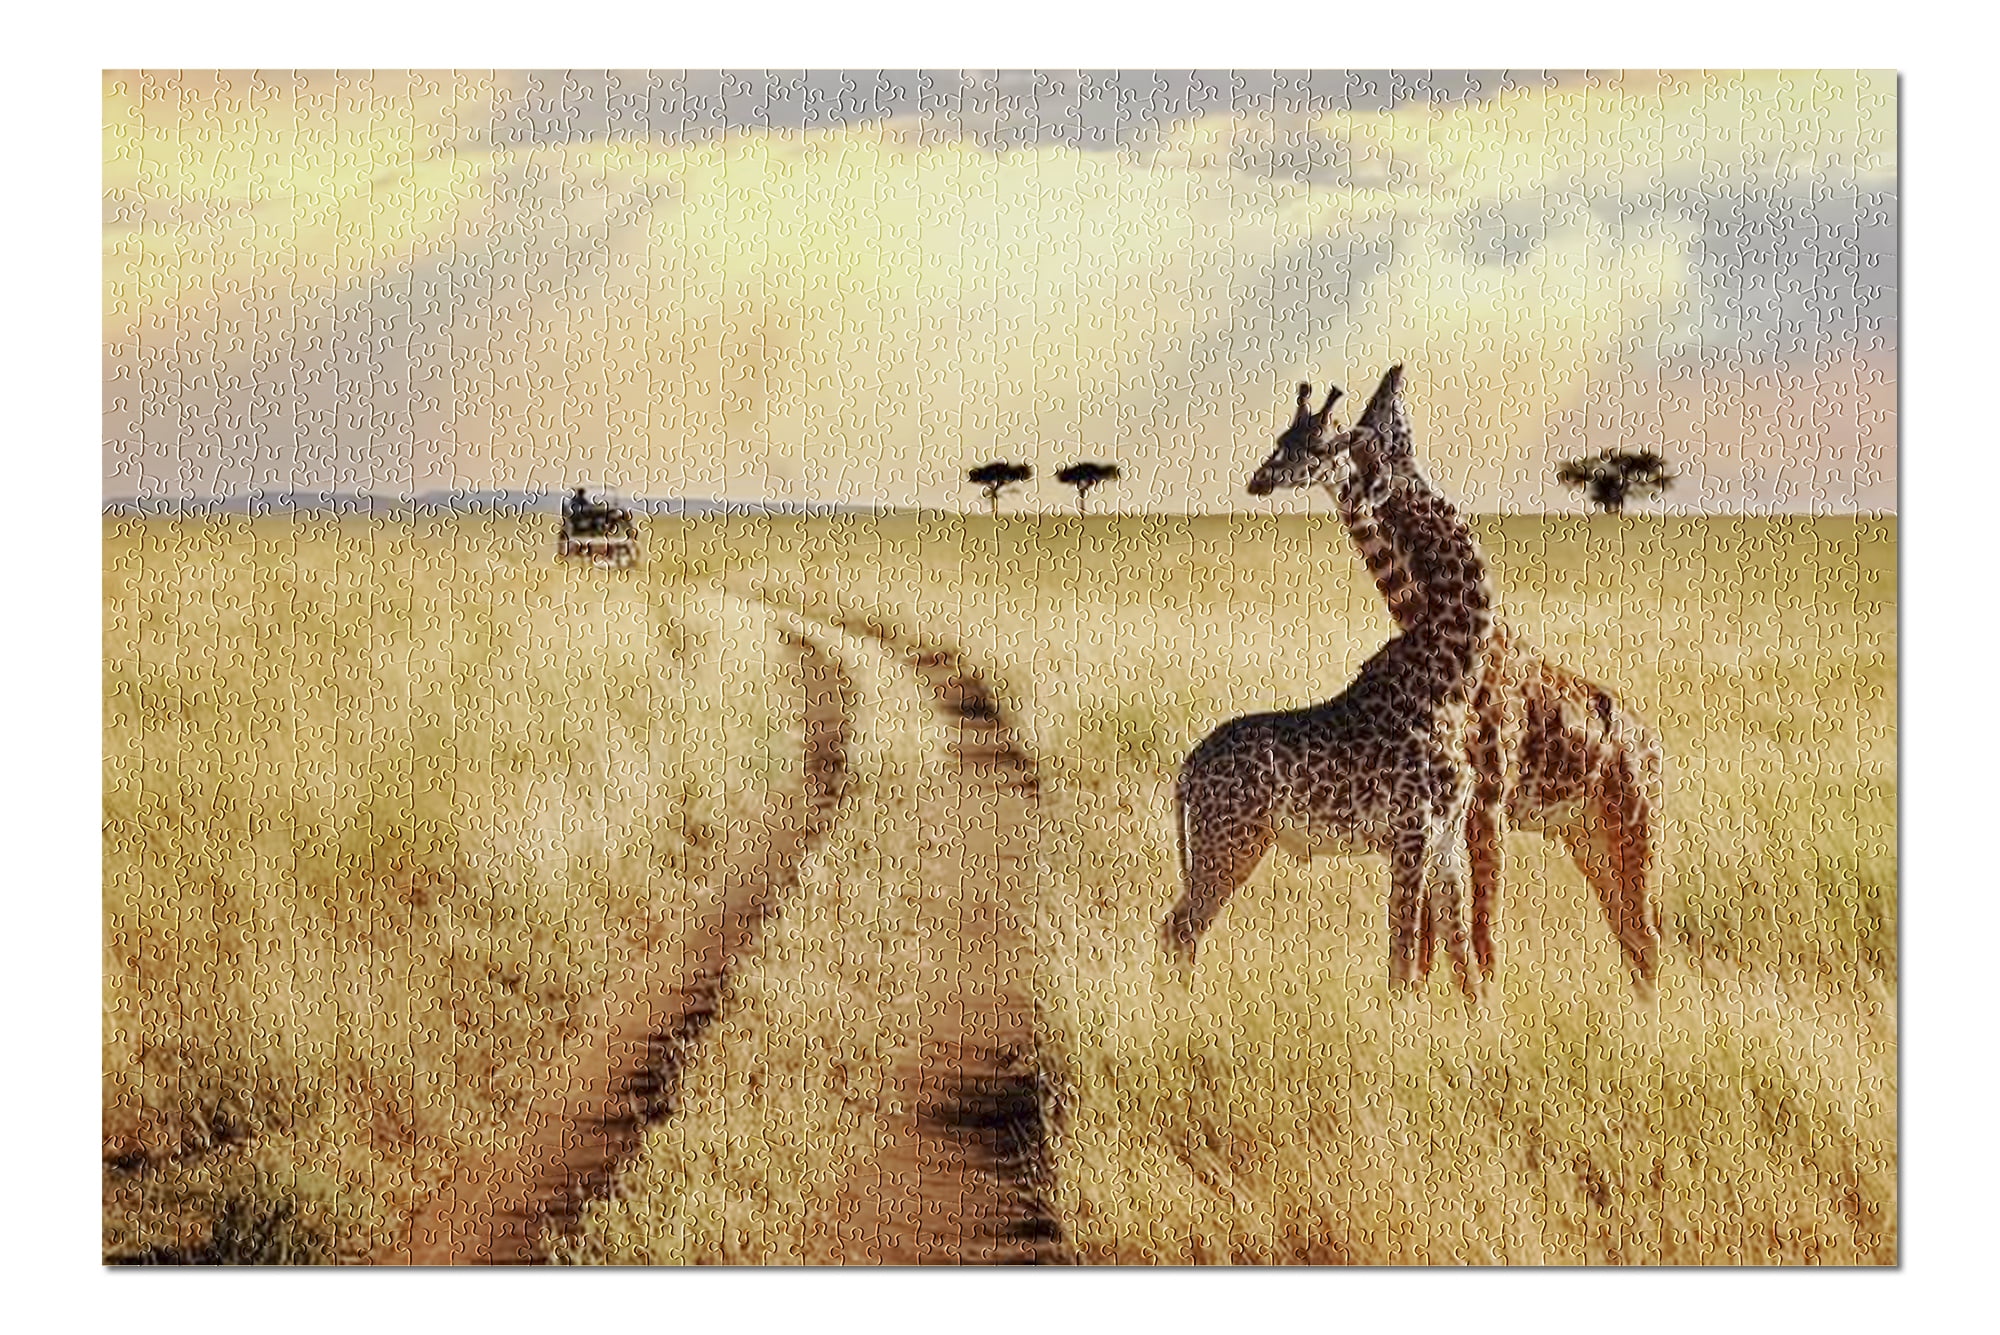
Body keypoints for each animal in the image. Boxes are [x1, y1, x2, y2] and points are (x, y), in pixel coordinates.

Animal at [1160, 371, 1496, 1000]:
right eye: (1390, 436)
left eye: (1310, 446)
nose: (1260, 479)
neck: (1448, 670)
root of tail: (1187, 772)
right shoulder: (1411, 833)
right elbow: (1403, 959)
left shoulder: (1445, 839)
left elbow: (1462, 963)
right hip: (1232, 841)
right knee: (1180, 928)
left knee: (1178, 927)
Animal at [1249, 368, 1663, 992]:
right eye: (1282, 438)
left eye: (1320, 445)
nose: (1260, 479)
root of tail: (1653, 745)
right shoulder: (1446, 810)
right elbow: (1436, 935)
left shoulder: (1484, 801)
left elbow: (1474, 934)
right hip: (1585, 835)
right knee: (1632, 934)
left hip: (1632, 826)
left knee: (1647, 936)